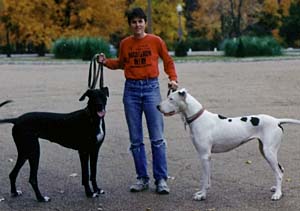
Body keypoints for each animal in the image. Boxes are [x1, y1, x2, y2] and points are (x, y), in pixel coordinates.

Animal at [156, 88, 300, 201]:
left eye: (171, 99)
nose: (157, 107)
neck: (199, 118)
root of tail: (277, 121)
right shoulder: (207, 157)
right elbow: (207, 178)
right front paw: (202, 192)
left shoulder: (204, 156)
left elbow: (203, 178)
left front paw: (202, 195)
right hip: (265, 151)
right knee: (281, 169)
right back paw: (277, 189)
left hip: (269, 152)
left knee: (278, 173)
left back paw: (278, 194)